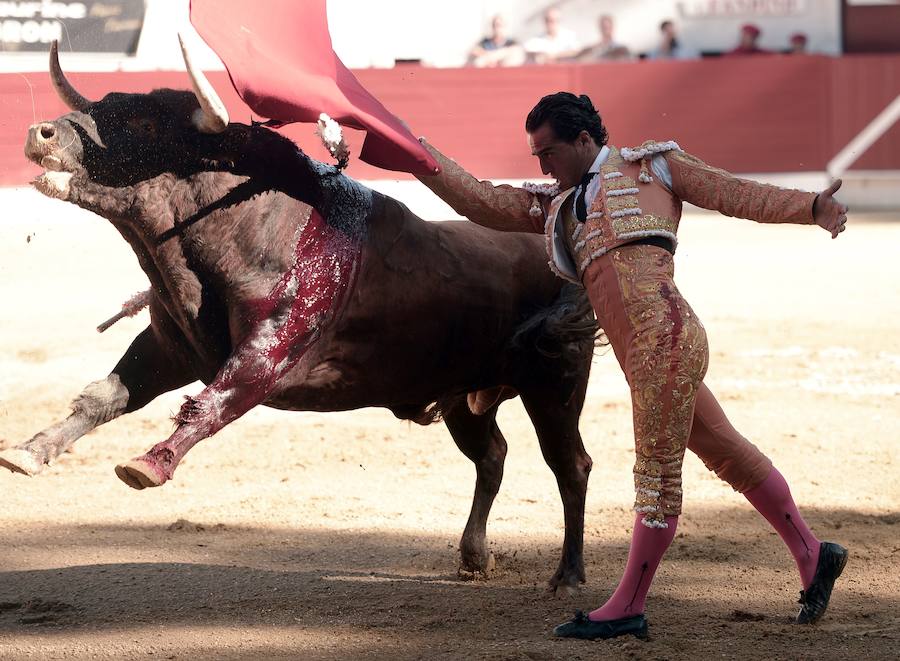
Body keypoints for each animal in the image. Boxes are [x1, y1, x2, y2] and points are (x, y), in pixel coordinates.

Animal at [5, 45, 604, 592]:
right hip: (462, 395)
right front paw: (29, 452)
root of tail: (557, 245)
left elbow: (211, 403)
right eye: (102, 104)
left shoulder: (267, 355)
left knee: (569, 466)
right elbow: (104, 395)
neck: (248, 228)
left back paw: (569, 576)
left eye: (145, 123)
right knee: (492, 456)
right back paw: (475, 556)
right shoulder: (168, 347)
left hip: (554, 382)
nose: (40, 134)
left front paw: (149, 464)